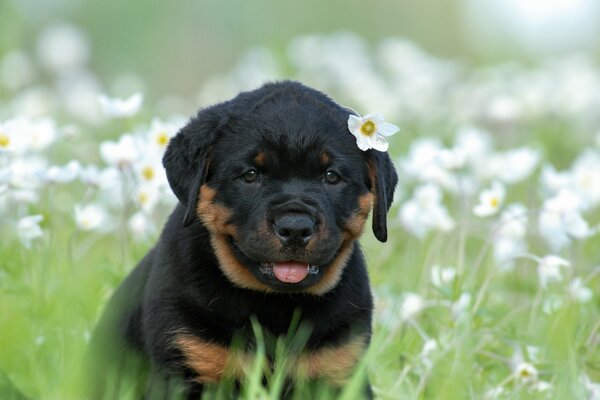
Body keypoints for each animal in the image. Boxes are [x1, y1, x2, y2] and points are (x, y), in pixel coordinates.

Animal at [89, 79, 396, 398]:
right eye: (250, 175)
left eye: (332, 176)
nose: (295, 227)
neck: (275, 305)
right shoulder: (182, 365)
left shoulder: (340, 368)